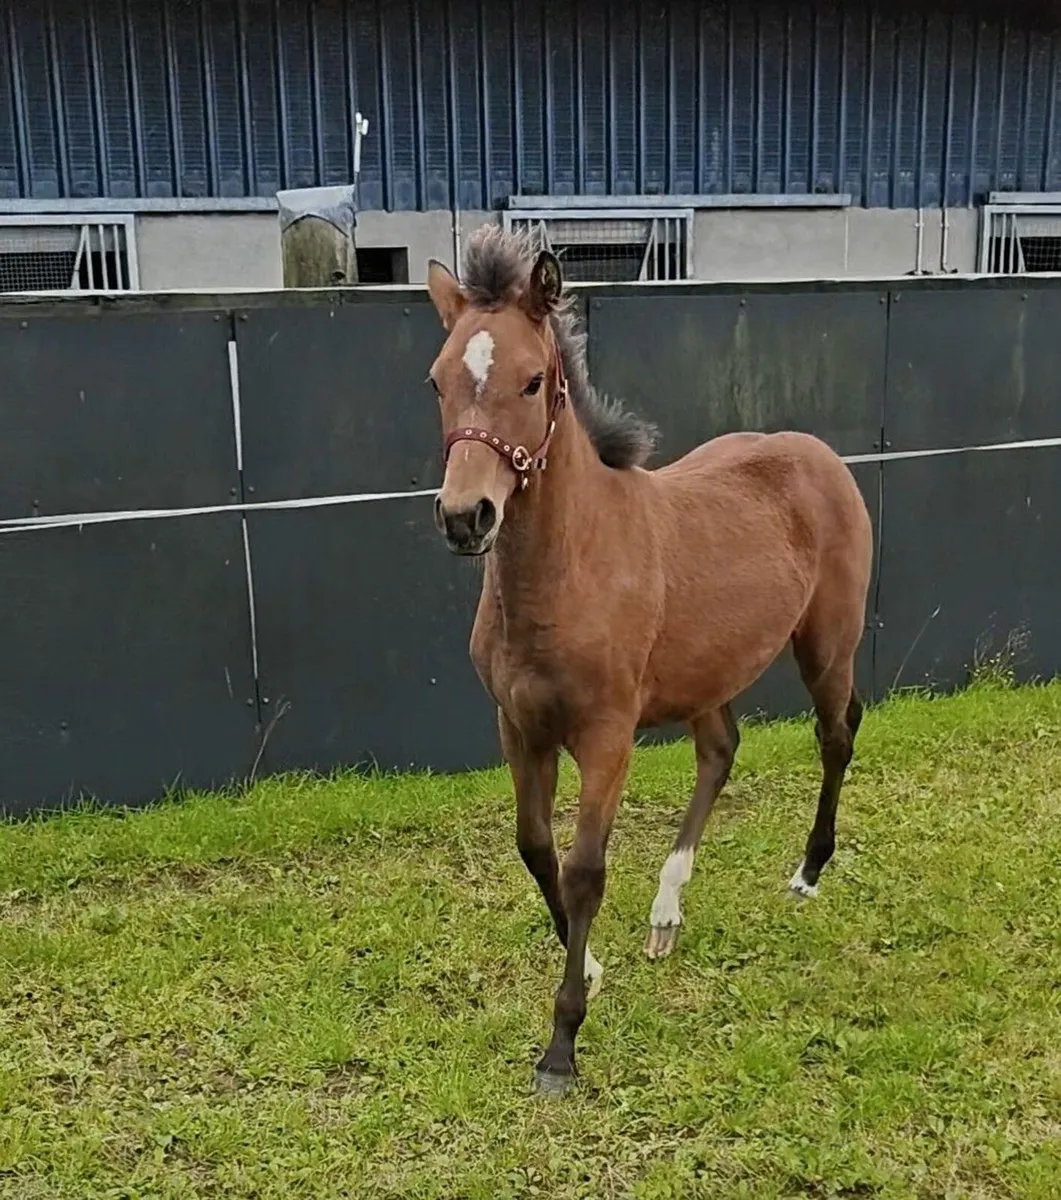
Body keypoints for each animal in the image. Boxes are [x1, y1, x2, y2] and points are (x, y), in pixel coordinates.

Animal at [425, 226, 873, 1097]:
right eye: (437, 382)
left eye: (532, 381)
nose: (466, 517)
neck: (564, 574)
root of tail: (816, 454)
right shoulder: (517, 726)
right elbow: (534, 847)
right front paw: (593, 967)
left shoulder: (606, 735)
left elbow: (583, 867)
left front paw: (561, 1045)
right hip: (709, 670)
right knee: (720, 751)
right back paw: (666, 913)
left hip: (827, 640)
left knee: (836, 733)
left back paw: (807, 871)